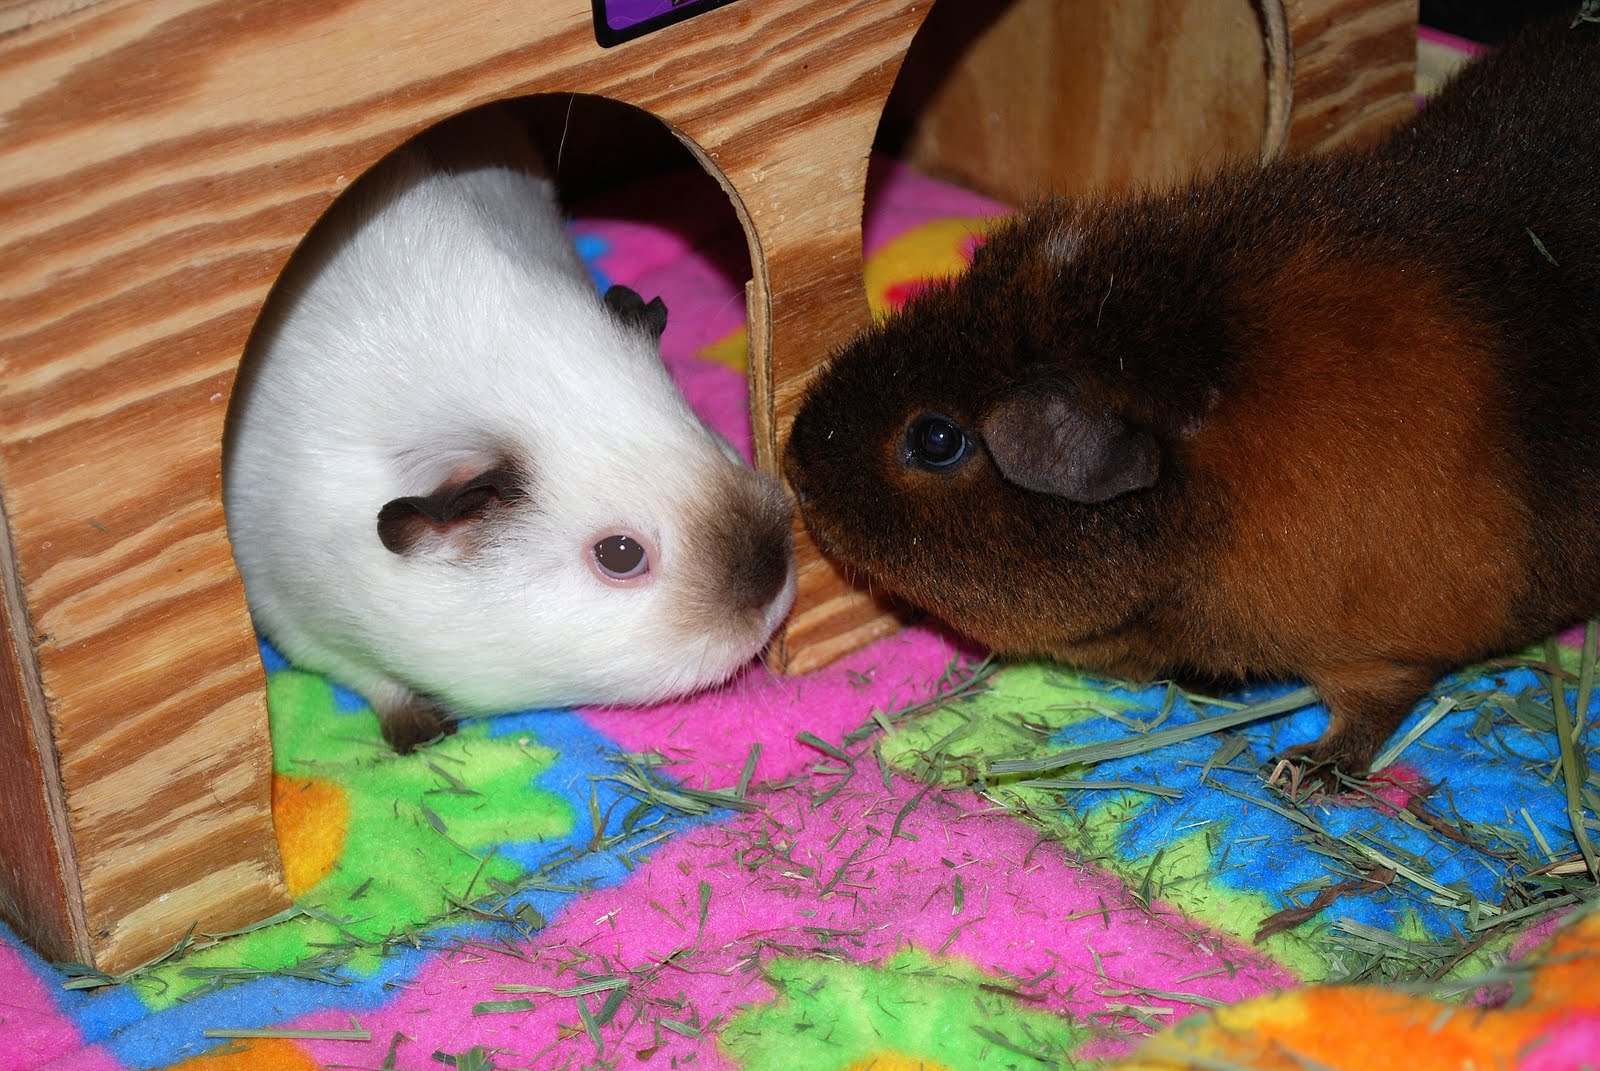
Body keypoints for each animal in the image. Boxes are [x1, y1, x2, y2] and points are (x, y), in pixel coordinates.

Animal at [225, 106, 795, 752]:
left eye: (702, 428)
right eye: (620, 554)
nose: (775, 588)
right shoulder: (287, 610)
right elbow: (368, 676)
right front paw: (422, 735)